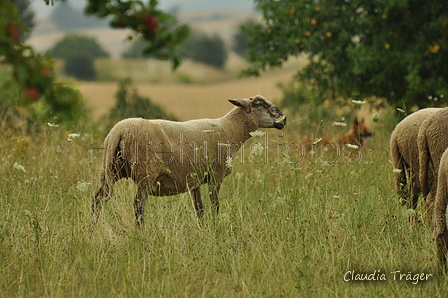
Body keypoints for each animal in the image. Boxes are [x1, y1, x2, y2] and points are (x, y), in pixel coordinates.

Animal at [93, 96, 288, 225]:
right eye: (260, 104)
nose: (284, 119)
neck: (230, 130)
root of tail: (119, 131)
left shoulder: (195, 180)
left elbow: (199, 209)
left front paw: (203, 229)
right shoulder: (215, 176)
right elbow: (215, 205)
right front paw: (216, 228)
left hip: (110, 169)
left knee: (97, 200)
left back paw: (94, 229)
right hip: (145, 174)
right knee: (138, 205)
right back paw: (140, 233)